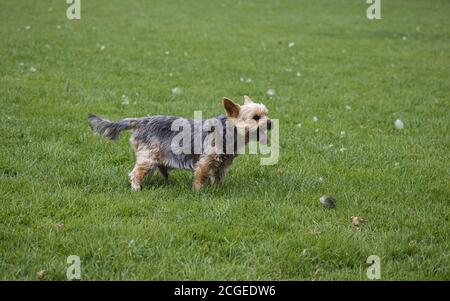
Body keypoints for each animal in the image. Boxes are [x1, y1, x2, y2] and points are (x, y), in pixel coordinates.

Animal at [87, 95, 270, 191]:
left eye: (266, 114)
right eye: (256, 117)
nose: (270, 123)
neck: (229, 131)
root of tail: (141, 120)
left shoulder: (223, 164)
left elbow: (218, 176)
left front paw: (218, 189)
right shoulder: (205, 161)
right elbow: (200, 176)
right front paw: (199, 191)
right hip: (148, 157)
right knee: (136, 173)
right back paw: (136, 188)